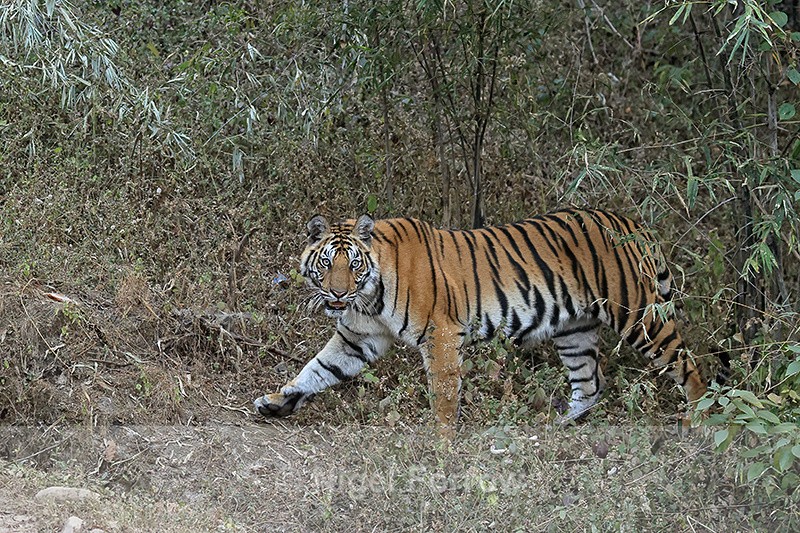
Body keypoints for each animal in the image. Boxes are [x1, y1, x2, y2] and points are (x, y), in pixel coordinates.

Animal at [253, 208, 712, 433]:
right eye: (326, 264)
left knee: (689, 365)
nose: (336, 295)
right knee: (591, 383)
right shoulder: (356, 338)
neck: (368, 297)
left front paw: (441, 441)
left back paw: (697, 420)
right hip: (575, 330)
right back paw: (558, 424)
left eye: (353, 264)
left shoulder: (440, 333)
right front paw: (278, 401)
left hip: (639, 316)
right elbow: (316, 369)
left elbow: (443, 392)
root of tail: (632, 222)